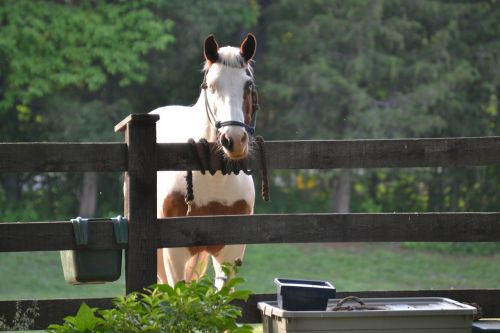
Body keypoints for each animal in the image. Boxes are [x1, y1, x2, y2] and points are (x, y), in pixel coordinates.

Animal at [151, 33, 258, 288]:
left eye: (248, 85)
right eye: (211, 86)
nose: (234, 140)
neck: (214, 182)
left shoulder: (231, 252)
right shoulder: (173, 255)